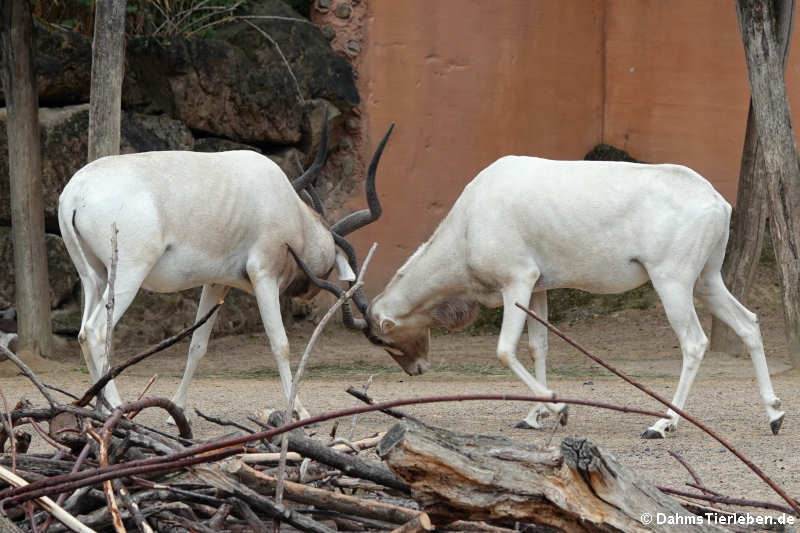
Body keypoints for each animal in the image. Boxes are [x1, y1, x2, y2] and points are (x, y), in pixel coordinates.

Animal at [56, 119, 394, 416]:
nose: (307, 294)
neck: (288, 208)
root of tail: (76, 191)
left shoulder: (216, 283)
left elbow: (197, 345)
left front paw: (176, 409)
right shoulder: (264, 275)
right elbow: (280, 343)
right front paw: (297, 409)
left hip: (95, 277)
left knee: (83, 334)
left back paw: (100, 407)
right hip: (129, 273)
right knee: (96, 331)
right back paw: (117, 408)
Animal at [330, 156, 780, 438]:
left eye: (382, 338)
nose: (416, 369)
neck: (472, 216)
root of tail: (716, 202)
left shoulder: (517, 281)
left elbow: (505, 350)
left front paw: (558, 408)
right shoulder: (539, 287)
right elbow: (538, 346)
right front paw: (535, 416)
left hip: (671, 281)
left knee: (694, 342)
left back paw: (662, 424)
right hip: (706, 280)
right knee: (749, 323)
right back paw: (774, 414)